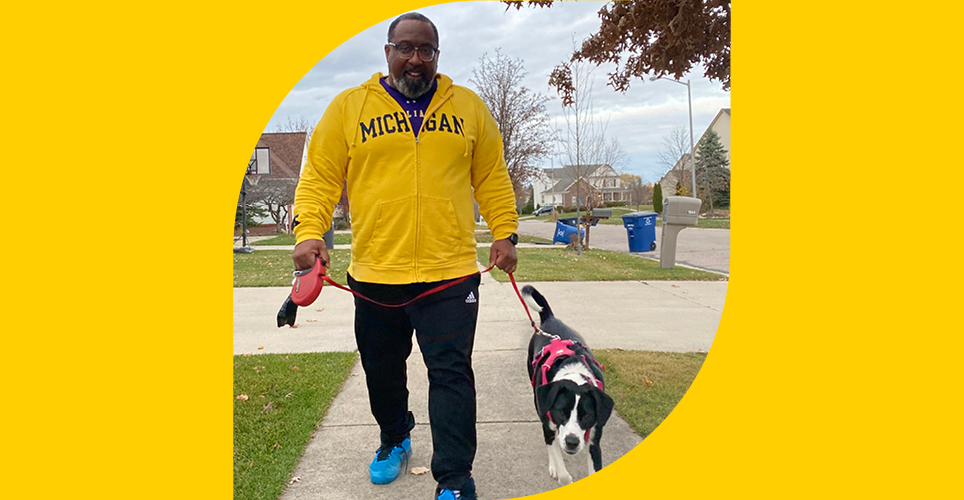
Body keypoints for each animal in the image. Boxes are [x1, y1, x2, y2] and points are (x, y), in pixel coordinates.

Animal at [524, 286, 612, 484]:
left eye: (587, 416)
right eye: (561, 412)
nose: (572, 442)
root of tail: (550, 319)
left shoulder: (594, 439)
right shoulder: (550, 423)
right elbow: (563, 472)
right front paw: (560, 472)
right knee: (550, 442)